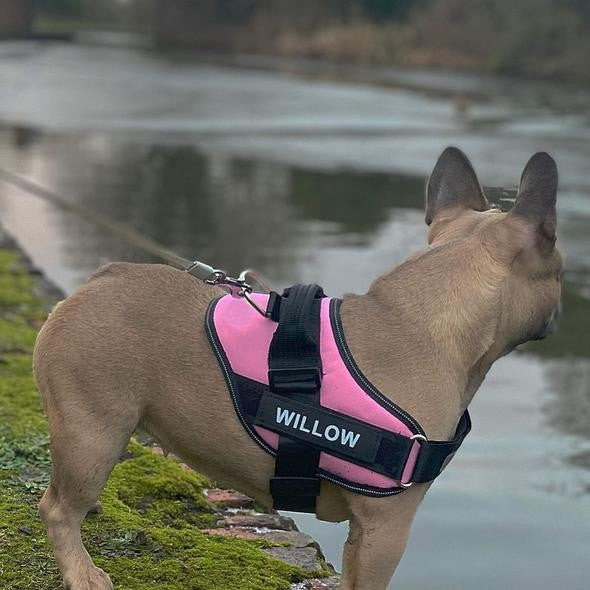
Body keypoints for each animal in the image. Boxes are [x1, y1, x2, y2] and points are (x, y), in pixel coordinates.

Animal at [33, 145, 564, 590]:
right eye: (560, 270)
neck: (422, 319)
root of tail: (98, 282)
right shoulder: (386, 528)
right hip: (93, 430)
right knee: (57, 508)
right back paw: (83, 574)